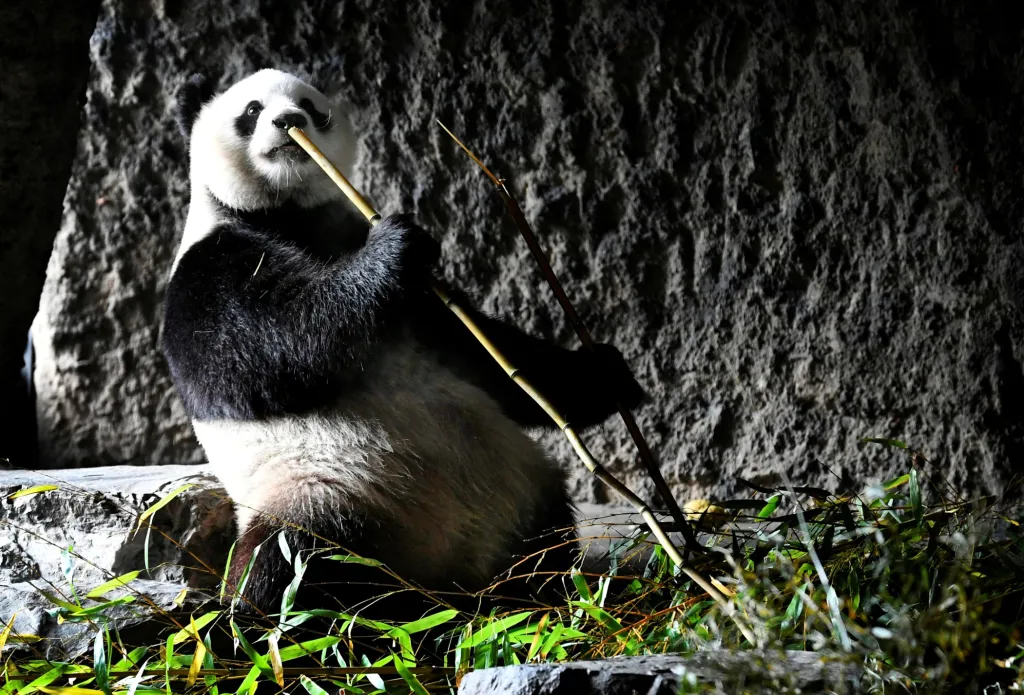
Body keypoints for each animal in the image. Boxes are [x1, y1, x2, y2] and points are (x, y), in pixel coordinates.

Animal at [161, 68, 646, 623]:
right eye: (251, 110)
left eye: (311, 105)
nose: (289, 121)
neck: (289, 216)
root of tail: (442, 588)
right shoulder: (209, 266)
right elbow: (271, 343)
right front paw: (395, 248)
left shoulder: (420, 301)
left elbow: (486, 356)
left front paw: (609, 374)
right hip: (327, 492)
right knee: (286, 559)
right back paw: (269, 618)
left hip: (520, 487)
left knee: (546, 537)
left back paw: (536, 594)